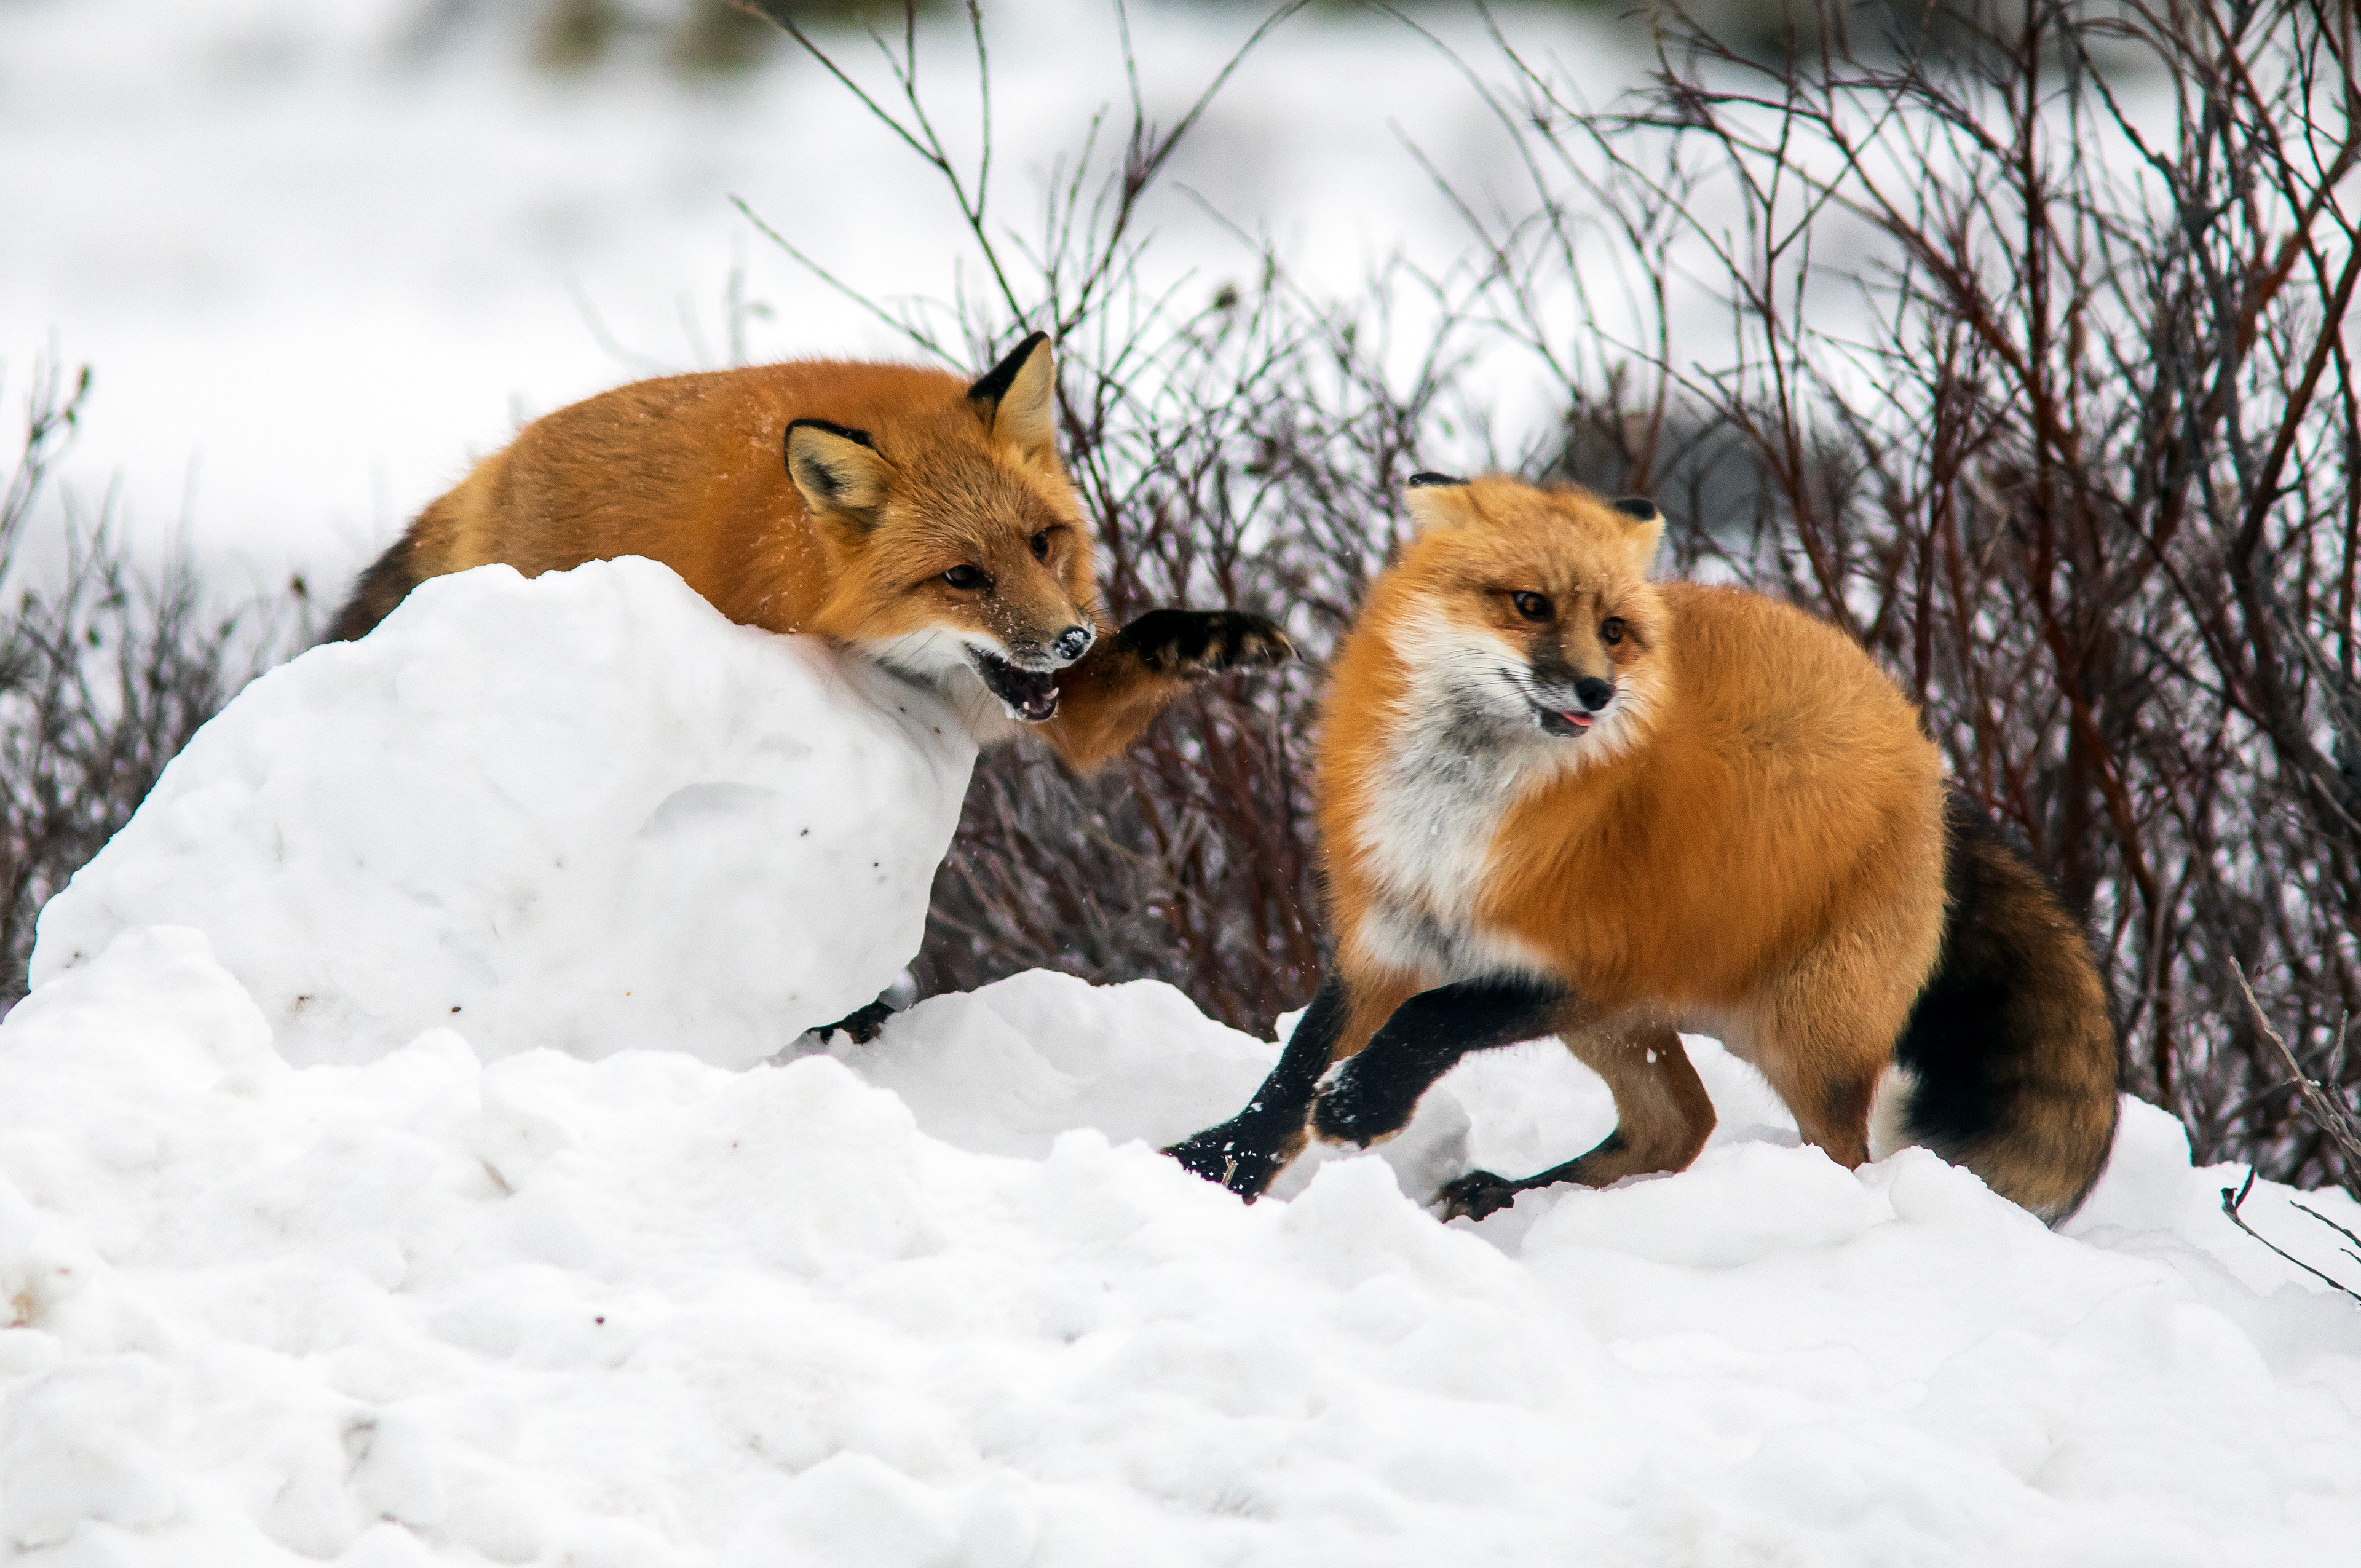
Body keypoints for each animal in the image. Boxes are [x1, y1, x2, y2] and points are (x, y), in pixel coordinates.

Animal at [325, 332, 1291, 771]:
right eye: (962, 578)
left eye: (1044, 544)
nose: (1072, 640)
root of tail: (493, 466)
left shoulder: (1050, 706)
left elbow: (1128, 672)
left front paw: (1208, 634)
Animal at [1167, 472, 2120, 1224]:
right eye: (1531, 605)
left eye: (1616, 629)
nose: (1597, 689)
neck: (1456, 817)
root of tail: (1928, 759)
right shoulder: (1392, 934)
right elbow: (1295, 1067)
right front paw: (1220, 1167)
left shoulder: (1593, 963)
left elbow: (1428, 1021)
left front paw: (1364, 1105)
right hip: (1632, 1028)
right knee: (1679, 1125)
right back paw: (1512, 1194)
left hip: (1800, 1039)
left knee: (1830, 1156)